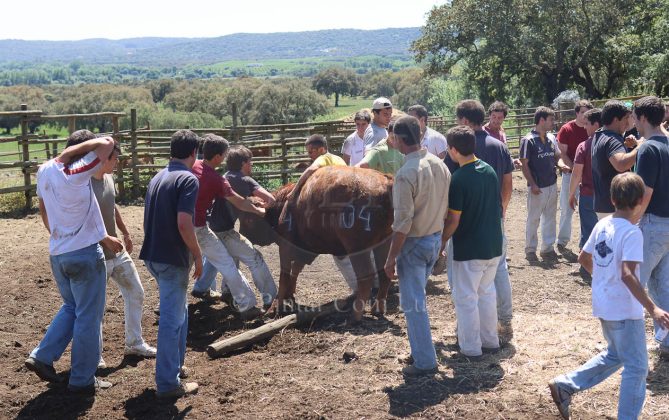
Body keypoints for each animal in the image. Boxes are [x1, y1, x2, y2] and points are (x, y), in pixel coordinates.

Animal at [238, 165, 394, 323]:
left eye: (248, 219)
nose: (242, 233)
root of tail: (386, 181)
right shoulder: (306, 249)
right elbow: (295, 271)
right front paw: (290, 296)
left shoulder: (286, 247)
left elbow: (284, 276)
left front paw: (275, 307)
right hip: (383, 244)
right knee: (384, 274)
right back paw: (377, 309)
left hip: (357, 249)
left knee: (366, 278)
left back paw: (355, 316)